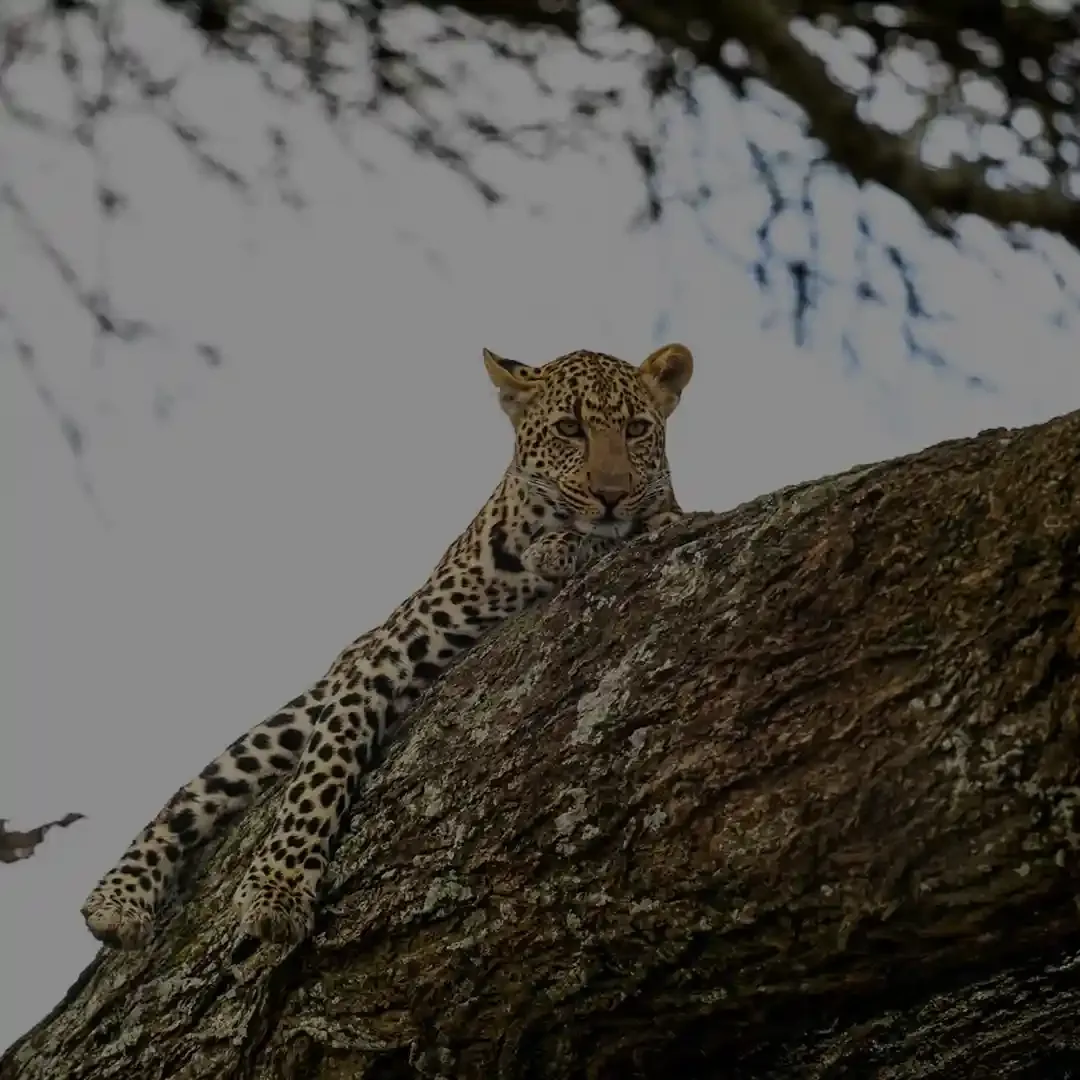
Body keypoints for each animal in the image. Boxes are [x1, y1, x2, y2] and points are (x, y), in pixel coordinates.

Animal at [80, 342, 694, 950]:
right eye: (570, 428)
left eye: (637, 429)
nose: (612, 495)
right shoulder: (384, 657)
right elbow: (320, 774)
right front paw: (278, 889)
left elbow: (639, 526)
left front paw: (571, 546)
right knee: (195, 794)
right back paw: (118, 899)